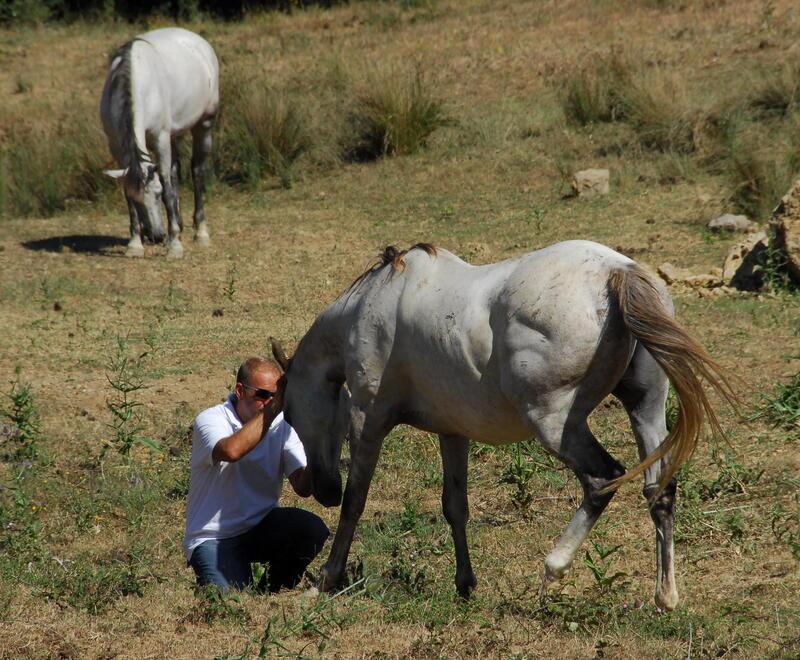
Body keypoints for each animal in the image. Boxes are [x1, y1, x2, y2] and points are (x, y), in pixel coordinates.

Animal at [100, 28, 219, 258]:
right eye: (137, 200)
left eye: (157, 194)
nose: (156, 235)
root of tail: (198, 40)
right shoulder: (116, 144)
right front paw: (135, 244)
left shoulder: (160, 137)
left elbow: (168, 186)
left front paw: (175, 246)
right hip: (174, 133)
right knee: (176, 170)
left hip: (204, 124)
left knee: (197, 171)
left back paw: (201, 233)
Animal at [271, 240, 736, 611]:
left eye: (289, 413)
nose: (321, 490)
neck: (375, 302)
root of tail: (616, 272)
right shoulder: (452, 433)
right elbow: (455, 507)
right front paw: (464, 584)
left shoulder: (367, 424)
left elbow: (355, 503)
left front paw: (326, 579)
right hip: (645, 407)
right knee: (660, 491)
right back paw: (665, 597)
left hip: (554, 423)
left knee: (603, 479)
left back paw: (554, 567)